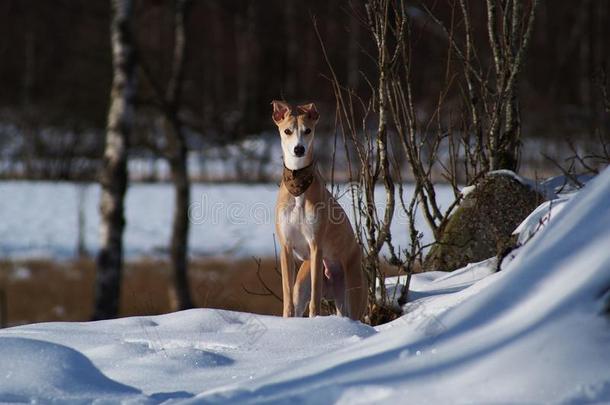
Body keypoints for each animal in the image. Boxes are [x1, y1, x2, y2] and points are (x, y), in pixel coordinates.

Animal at [270, 100, 366, 318]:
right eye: (287, 131)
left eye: (308, 130)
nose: (299, 149)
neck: (298, 186)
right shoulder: (286, 248)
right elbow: (287, 297)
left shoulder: (315, 246)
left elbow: (315, 301)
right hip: (303, 285)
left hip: (352, 291)